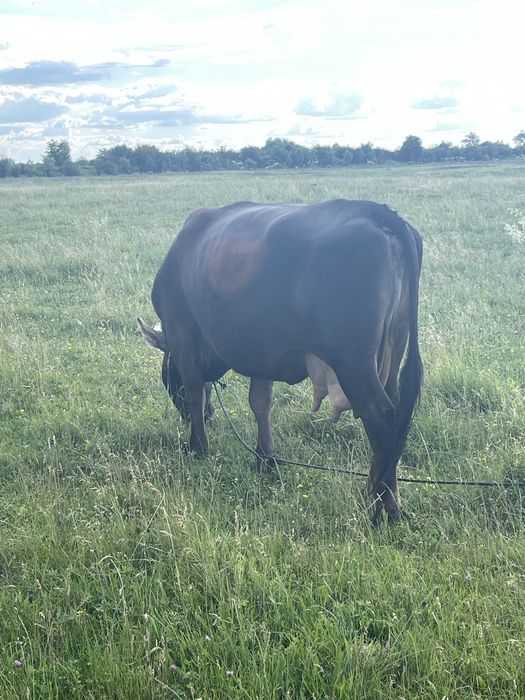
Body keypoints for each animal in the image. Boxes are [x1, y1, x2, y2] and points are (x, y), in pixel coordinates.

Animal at [138, 199, 423, 524]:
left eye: (167, 377)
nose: (200, 418)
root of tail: (377, 213)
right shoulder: (261, 353)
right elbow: (260, 403)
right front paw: (267, 457)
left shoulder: (183, 336)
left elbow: (196, 394)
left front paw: (197, 447)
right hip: (391, 352)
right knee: (395, 421)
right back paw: (382, 493)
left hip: (354, 363)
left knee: (381, 418)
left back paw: (384, 505)